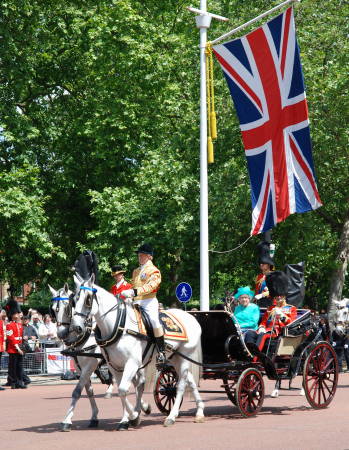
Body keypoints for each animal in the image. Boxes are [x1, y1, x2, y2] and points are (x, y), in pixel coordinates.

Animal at [70, 274, 204, 428]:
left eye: (88, 299)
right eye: (74, 300)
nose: (76, 328)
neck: (119, 326)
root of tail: (190, 316)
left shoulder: (132, 363)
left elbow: (123, 389)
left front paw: (134, 416)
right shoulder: (114, 366)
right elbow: (122, 390)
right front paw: (128, 418)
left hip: (184, 356)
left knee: (181, 385)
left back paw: (171, 416)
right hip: (175, 357)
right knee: (190, 380)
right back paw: (200, 411)